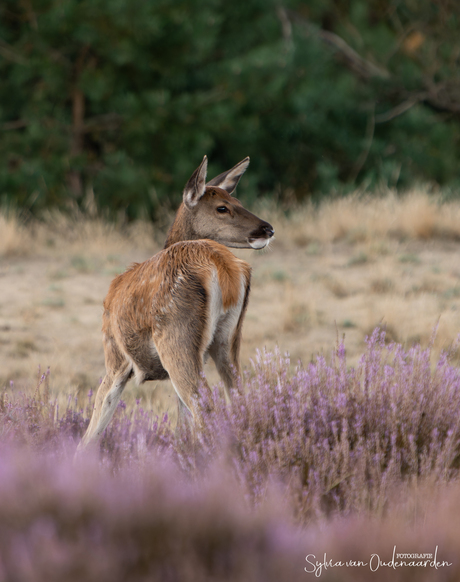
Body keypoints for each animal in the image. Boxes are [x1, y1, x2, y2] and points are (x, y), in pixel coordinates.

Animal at [76, 155, 274, 452]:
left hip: (175, 335)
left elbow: (93, 429)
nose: (267, 228)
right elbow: (182, 424)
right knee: (239, 399)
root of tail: (223, 267)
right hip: (227, 339)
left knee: (206, 409)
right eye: (224, 207)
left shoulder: (115, 353)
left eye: (236, 202)